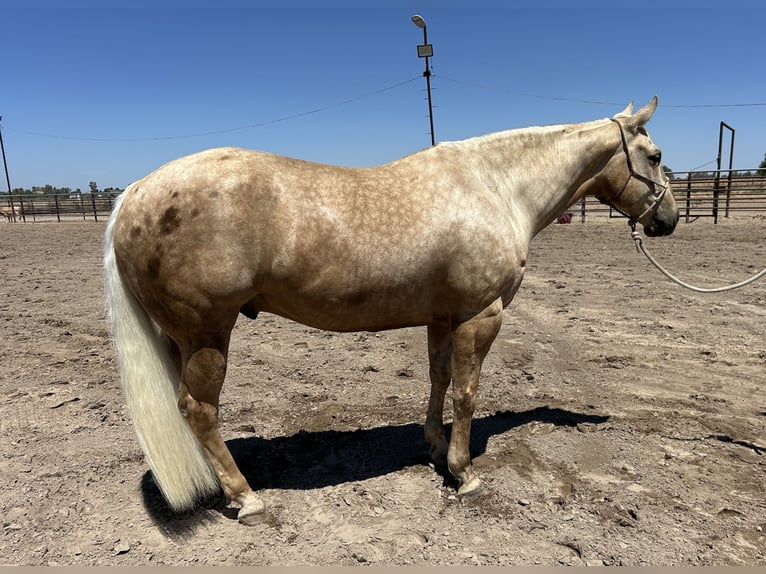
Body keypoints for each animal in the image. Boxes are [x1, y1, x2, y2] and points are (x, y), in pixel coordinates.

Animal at [104, 96, 679, 525]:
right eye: (654, 155)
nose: (668, 221)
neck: (493, 186)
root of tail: (134, 192)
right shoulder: (480, 315)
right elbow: (467, 393)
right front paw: (464, 474)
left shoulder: (442, 317)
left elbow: (439, 380)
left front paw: (434, 448)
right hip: (206, 334)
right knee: (199, 410)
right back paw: (246, 497)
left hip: (180, 339)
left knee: (185, 410)